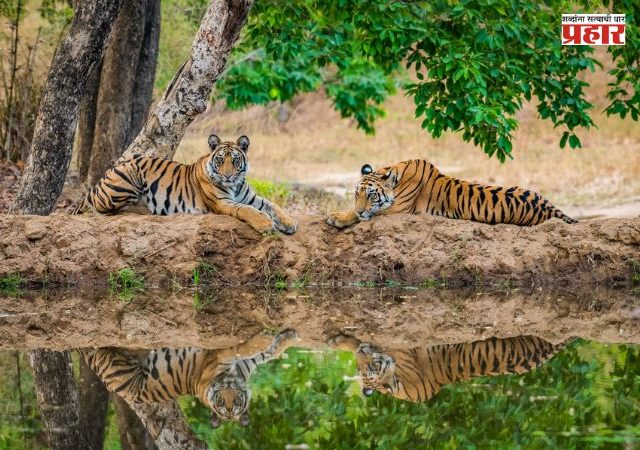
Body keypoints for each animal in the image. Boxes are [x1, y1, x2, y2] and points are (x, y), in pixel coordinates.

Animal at [72, 134, 297, 235]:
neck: (235, 185)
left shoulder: (251, 197)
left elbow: (272, 205)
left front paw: (289, 223)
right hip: (128, 178)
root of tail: (105, 174)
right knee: (102, 210)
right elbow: (247, 210)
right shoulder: (223, 203)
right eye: (220, 160)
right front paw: (266, 224)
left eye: (235, 160)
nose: (227, 176)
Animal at [82, 329, 298, 427]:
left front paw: (282, 337)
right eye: (221, 402)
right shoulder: (219, 358)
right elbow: (250, 349)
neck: (236, 376)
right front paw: (272, 336)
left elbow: (263, 352)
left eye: (236, 403)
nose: (227, 405)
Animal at [326, 159, 577, 228]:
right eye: (356, 195)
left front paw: (336, 217)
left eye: (371, 196)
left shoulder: (398, 209)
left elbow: (361, 215)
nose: (361, 209)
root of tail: (549, 206)